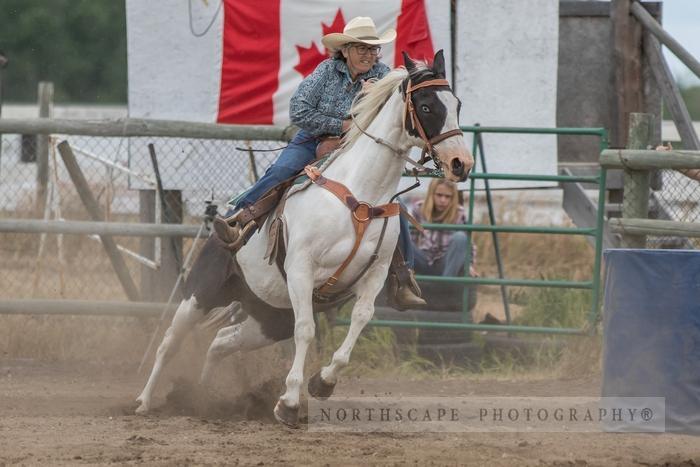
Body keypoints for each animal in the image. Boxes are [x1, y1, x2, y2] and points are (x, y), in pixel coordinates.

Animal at [135, 51, 476, 428]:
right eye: (427, 106)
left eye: (457, 104)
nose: (461, 163)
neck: (361, 194)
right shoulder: (300, 269)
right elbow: (307, 330)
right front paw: (288, 403)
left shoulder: (374, 275)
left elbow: (361, 318)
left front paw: (322, 383)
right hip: (202, 291)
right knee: (170, 340)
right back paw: (144, 401)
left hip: (268, 318)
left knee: (222, 341)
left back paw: (204, 394)